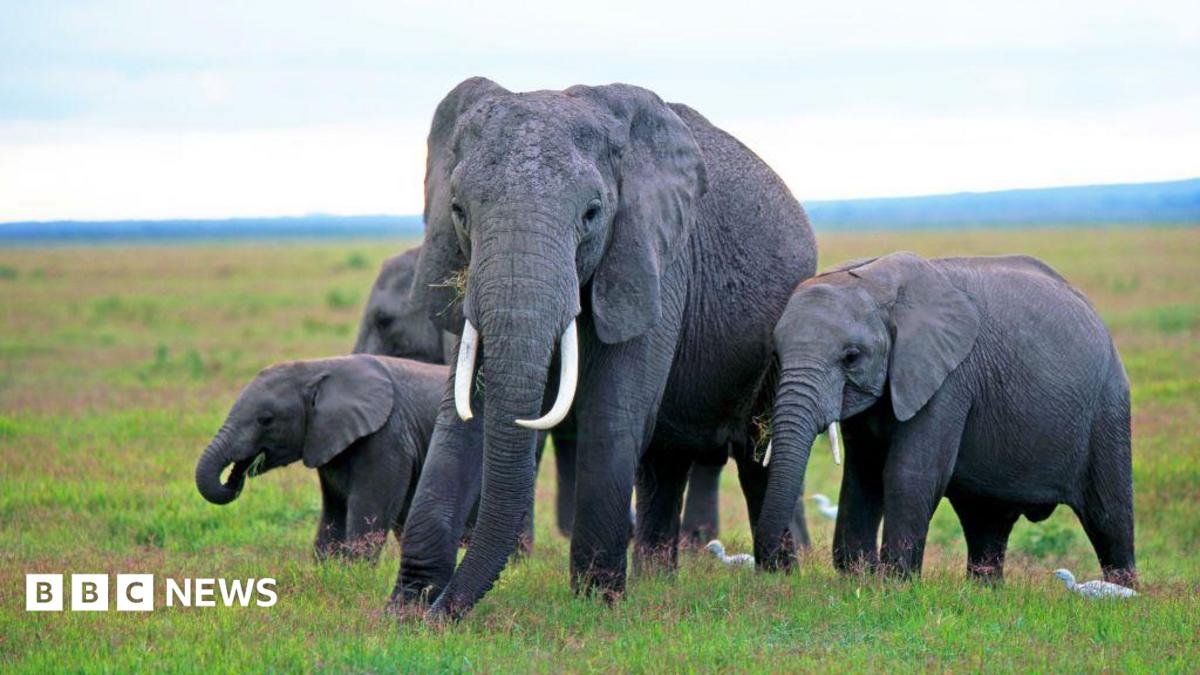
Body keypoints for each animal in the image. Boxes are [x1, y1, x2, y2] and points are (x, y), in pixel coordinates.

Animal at [195, 354, 455, 563]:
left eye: (266, 420)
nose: (234, 476)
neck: (318, 367)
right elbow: (333, 516)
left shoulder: (387, 439)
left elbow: (368, 516)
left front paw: (356, 576)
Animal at [754, 252, 1135, 587]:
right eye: (776, 354)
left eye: (851, 356)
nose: (772, 568)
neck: (876, 282)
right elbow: (863, 474)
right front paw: (857, 576)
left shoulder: (949, 378)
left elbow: (908, 473)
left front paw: (893, 584)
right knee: (986, 520)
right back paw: (985, 591)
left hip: (1108, 405)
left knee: (1109, 516)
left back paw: (1124, 593)